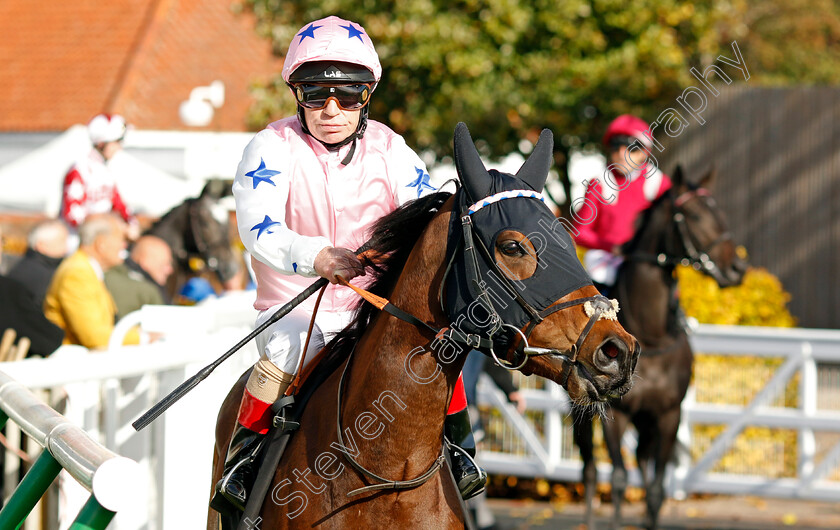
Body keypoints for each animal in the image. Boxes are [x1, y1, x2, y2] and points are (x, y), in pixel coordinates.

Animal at [572, 165, 748, 528]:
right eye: (694, 214)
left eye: (720, 211)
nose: (737, 269)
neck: (651, 335)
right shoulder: (614, 414)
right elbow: (619, 479)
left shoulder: (669, 414)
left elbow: (655, 490)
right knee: (590, 469)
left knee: (640, 459)